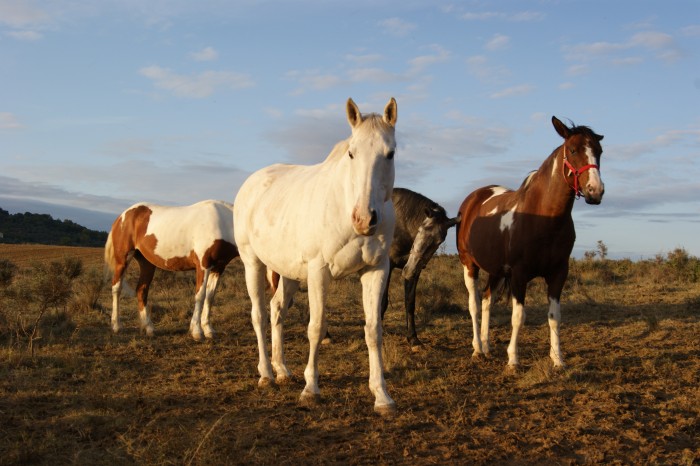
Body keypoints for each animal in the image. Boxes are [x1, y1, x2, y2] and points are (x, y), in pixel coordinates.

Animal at [104, 199, 239, 338]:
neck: (222, 221)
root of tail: (121, 216)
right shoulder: (203, 266)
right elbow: (200, 295)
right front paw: (196, 330)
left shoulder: (218, 268)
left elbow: (210, 297)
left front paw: (208, 329)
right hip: (123, 259)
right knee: (116, 288)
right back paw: (116, 325)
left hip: (147, 263)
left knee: (141, 290)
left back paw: (149, 328)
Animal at [235, 96, 400, 414]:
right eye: (351, 153)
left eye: (390, 154)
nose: (364, 219)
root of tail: (253, 182)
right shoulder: (319, 271)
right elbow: (316, 326)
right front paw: (311, 389)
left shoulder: (376, 269)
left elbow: (373, 329)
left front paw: (382, 395)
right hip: (252, 263)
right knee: (259, 315)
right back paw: (266, 375)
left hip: (287, 271)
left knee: (276, 310)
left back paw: (282, 370)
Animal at [382, 187, 460, 348]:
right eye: (421, 229)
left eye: (439, 241)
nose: (408, 270)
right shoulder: (388, 265)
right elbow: (383, 302)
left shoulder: (414, 270)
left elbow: (410, 302)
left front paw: (413, 338)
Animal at [456, 116, 604, 368]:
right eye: (573, 150)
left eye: (599, 151)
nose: (595, 191)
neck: (544, 218)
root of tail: (472, 200)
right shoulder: (519, 274)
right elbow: (518, 317)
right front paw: (513, 360)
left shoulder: (558, 273)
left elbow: (554, 316)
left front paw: (558, 358)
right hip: (470, 265)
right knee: (474, 305)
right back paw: (477, 348)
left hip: (496, 271)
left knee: (486, 301)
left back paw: (486, 345)